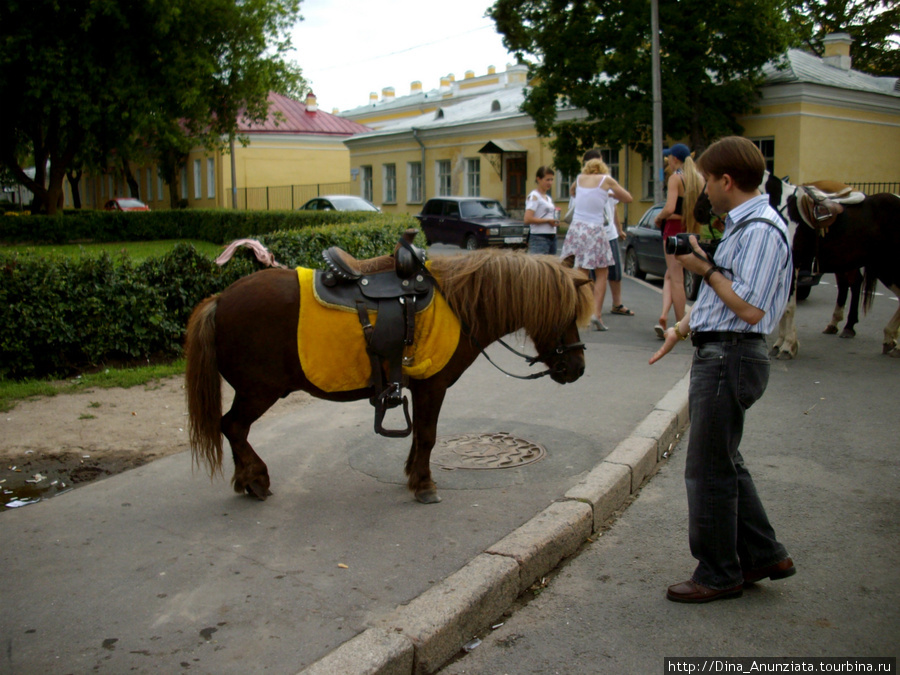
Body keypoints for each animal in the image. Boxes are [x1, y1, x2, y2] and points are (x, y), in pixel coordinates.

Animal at [184, 251, 596, 504]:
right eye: (566, 313)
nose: (577, 368)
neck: (458, 305)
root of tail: (220, 300)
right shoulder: (433, 386)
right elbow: (428, 436)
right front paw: (425, 484)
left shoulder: (419, 388)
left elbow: (419, 437)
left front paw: (413, 474)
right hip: (258, 392)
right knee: (233, 427)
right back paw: (254, 477)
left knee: (233, 429)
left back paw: (245, 478)